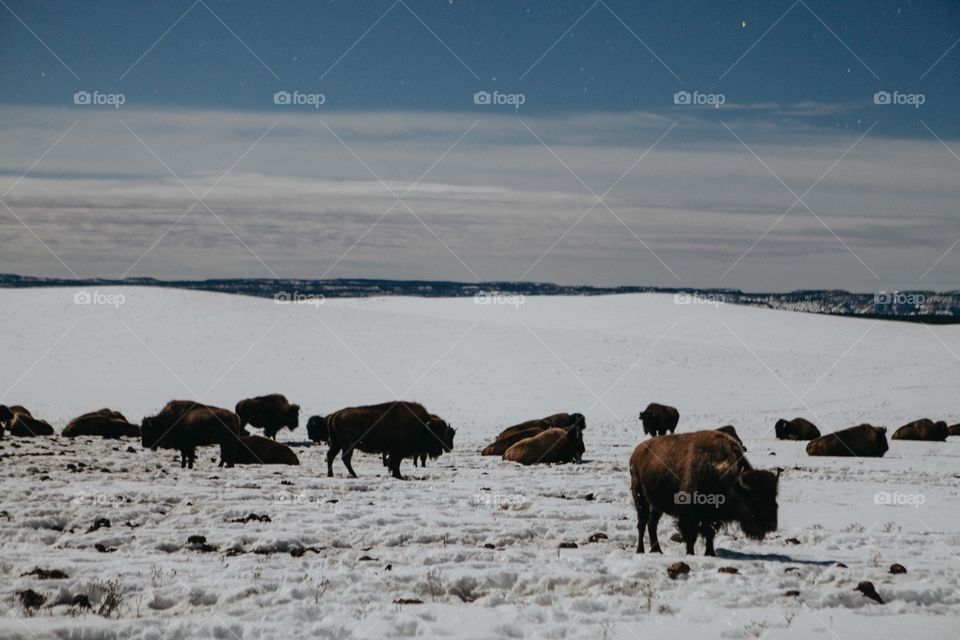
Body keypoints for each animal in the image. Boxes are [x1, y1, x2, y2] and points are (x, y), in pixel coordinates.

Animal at [308, 401, 454, 479]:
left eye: (442, 433)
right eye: (434, 434)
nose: (440, 451)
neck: (421, 425)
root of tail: (335, 415)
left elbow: (394, 464)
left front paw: (397, 475)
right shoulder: (397, 452)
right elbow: (395, 464)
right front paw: (398, 476)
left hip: (337, 444)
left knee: (332, 456)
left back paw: (332, 475)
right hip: (347, 446)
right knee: (344, 458)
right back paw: (353, 475)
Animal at [629, 430, 779, 556]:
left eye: (774, 496)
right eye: (754, 497)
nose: (772, 525)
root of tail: (636, 452)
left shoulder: (710, 516)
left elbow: (709, 533)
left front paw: (710, 553)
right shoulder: (689, 515)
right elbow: (691, 536)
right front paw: (691, 553)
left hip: (656, 505)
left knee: (652, 524)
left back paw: (657, 550)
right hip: (640, 497)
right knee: (642, 524)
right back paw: (640, 550)